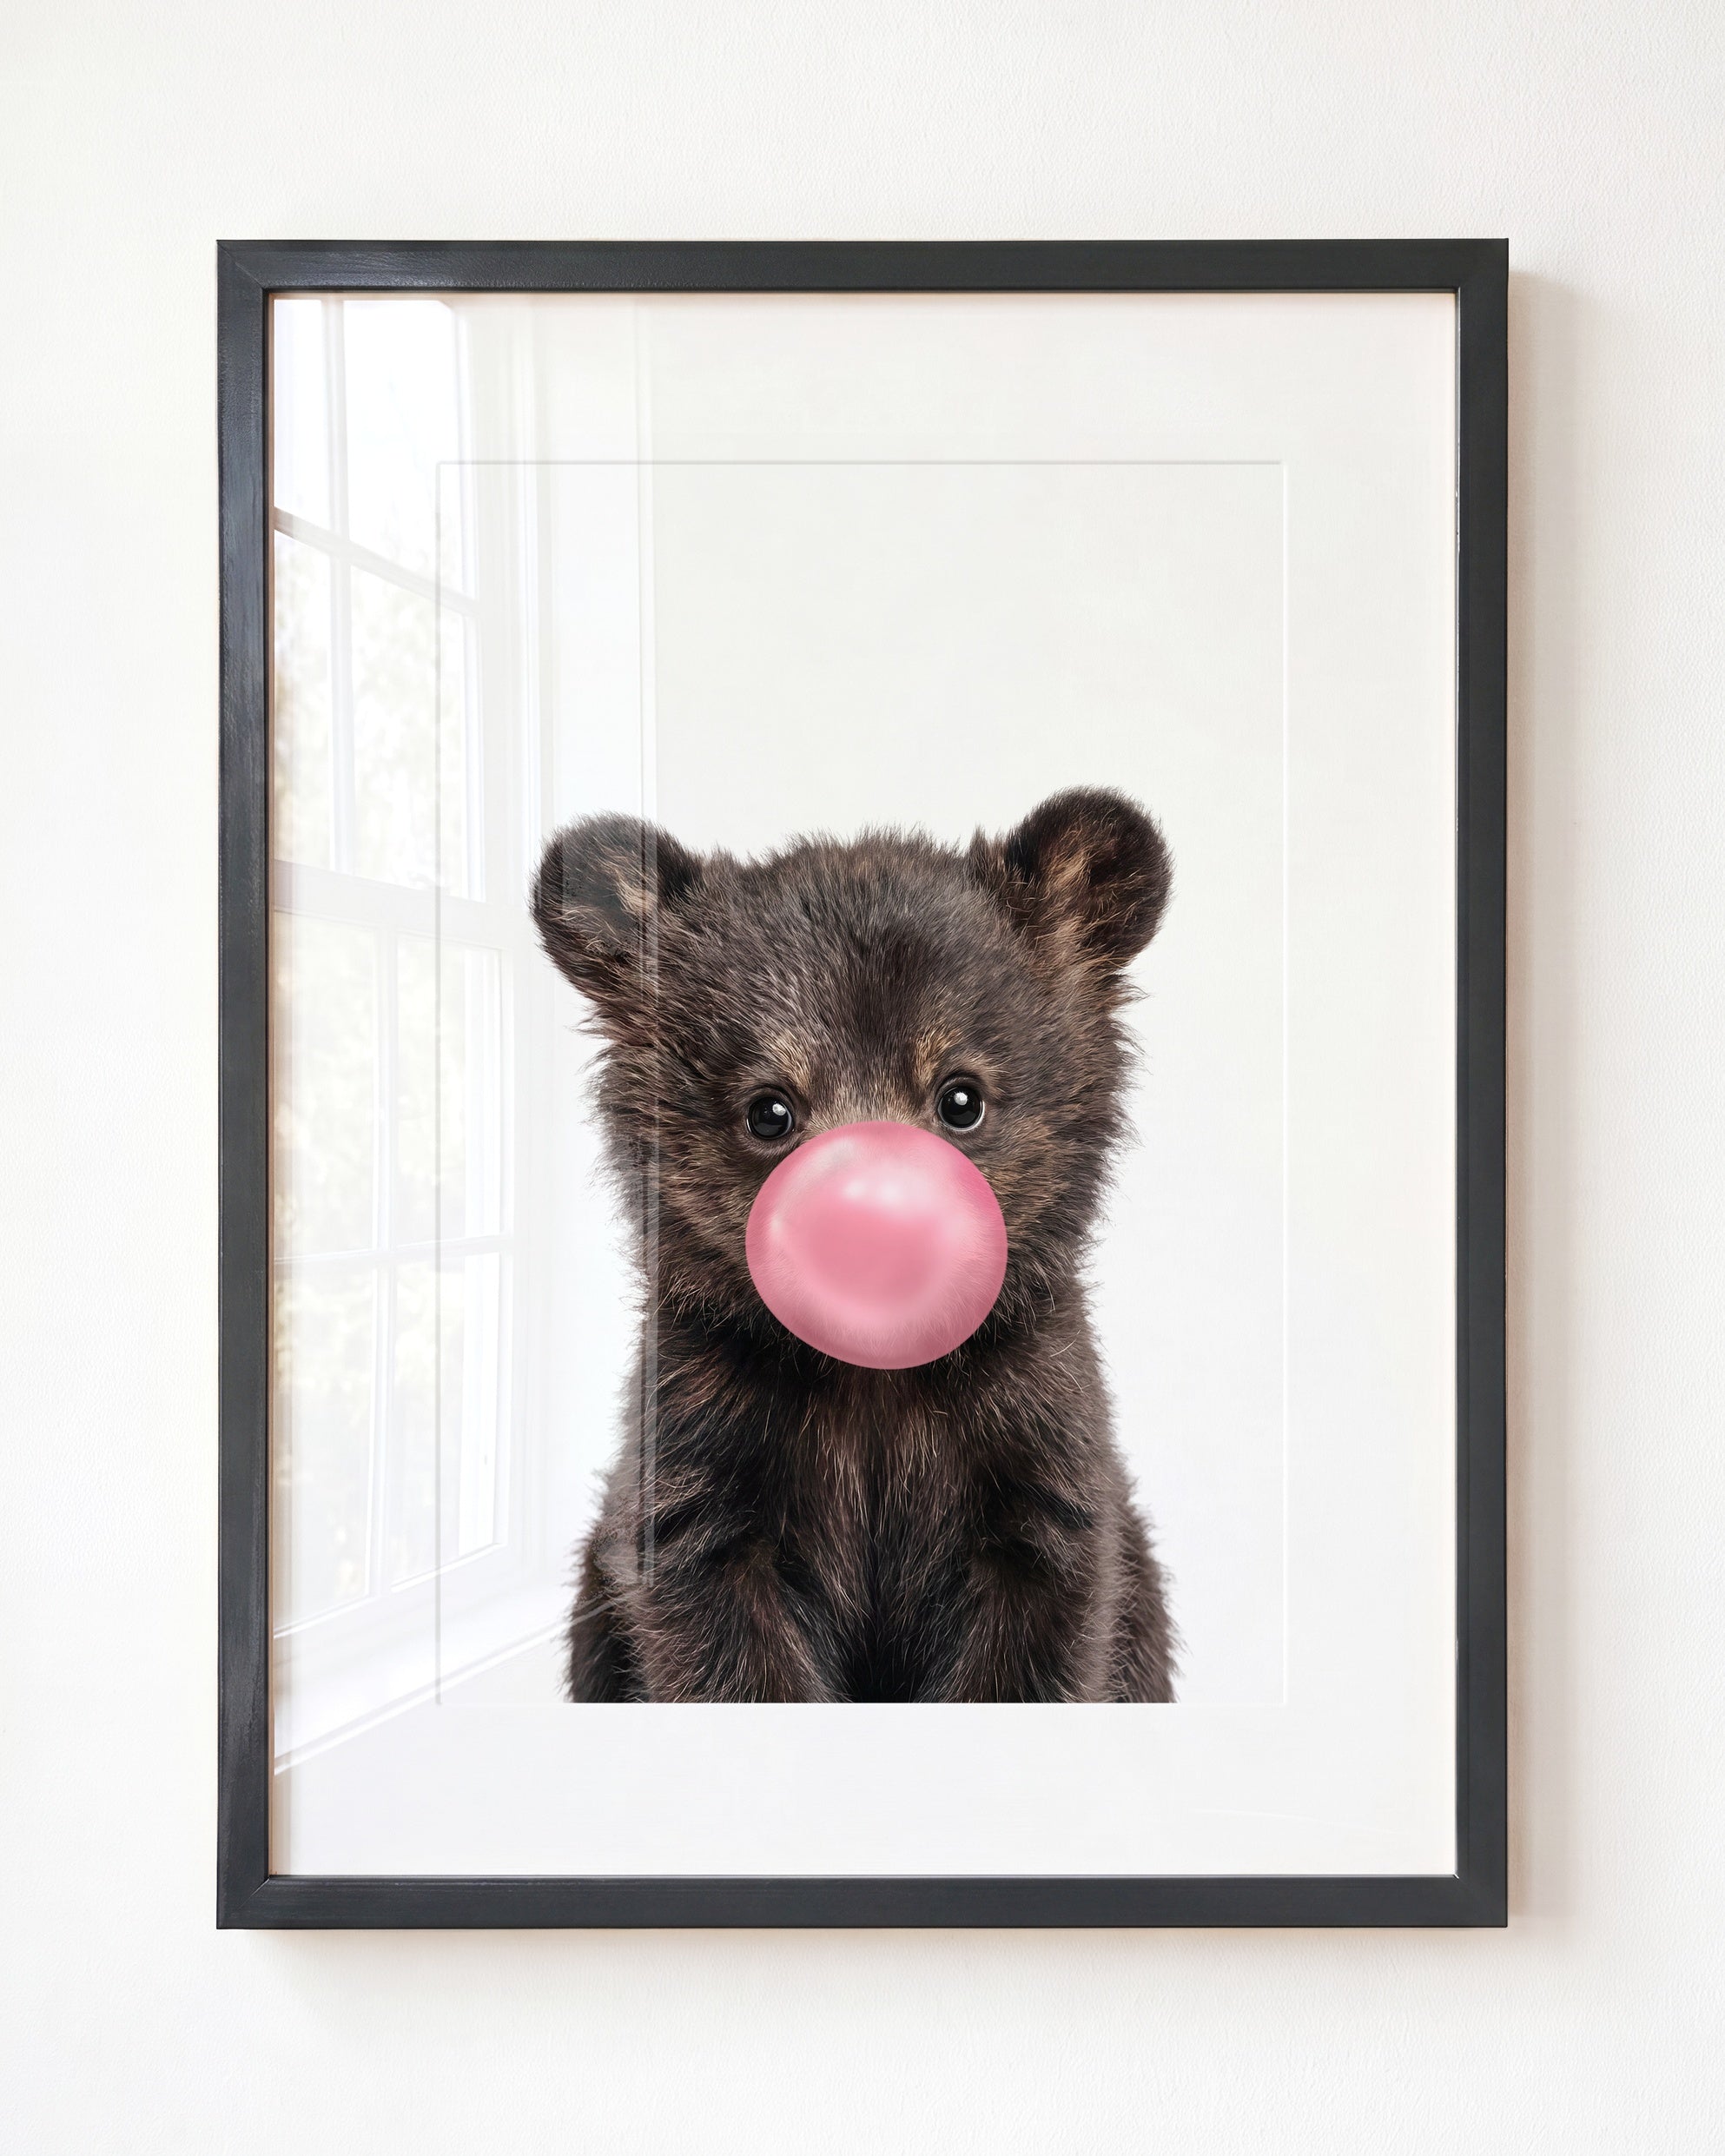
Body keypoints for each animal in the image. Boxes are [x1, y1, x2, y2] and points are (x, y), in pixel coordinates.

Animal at [530, 787, 1178, 1702]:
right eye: (769, 1110)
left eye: (961, 1098)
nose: (872, 1232)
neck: (874, 1380)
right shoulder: (695, 1480)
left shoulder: (1042, 1474)